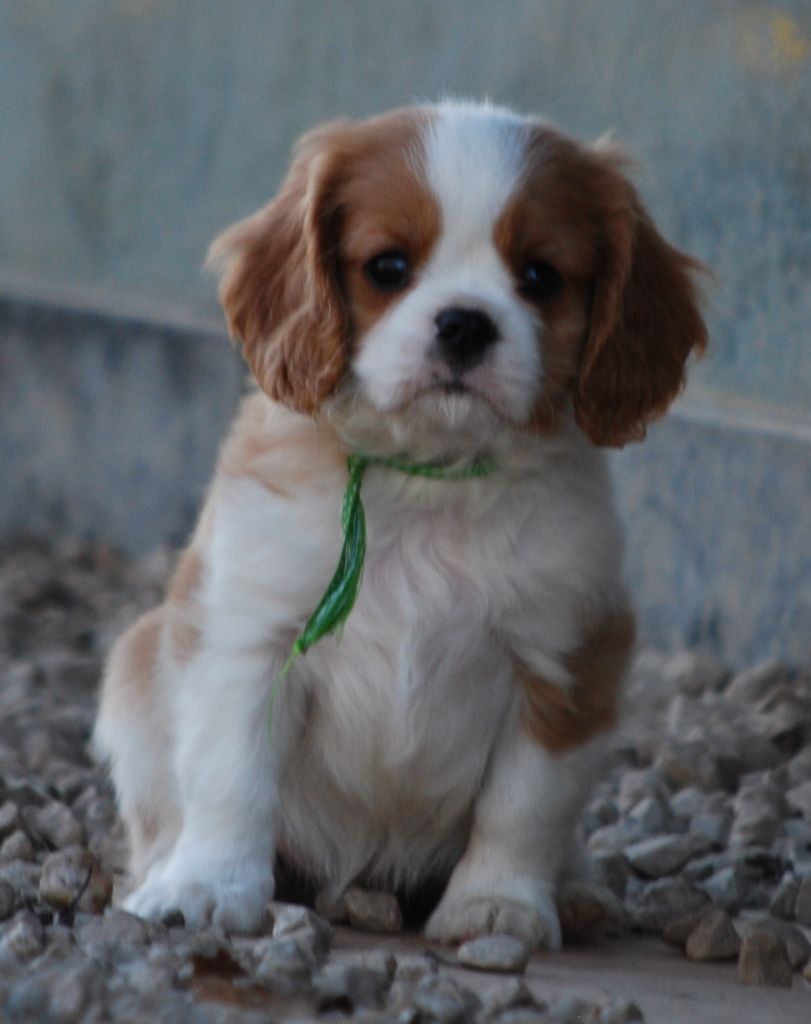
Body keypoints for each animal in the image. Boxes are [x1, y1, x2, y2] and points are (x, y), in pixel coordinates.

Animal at [94, 100, 706, 949]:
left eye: (540, 277)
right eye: (386, 267)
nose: (464, 324)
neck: (428, 481)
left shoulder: (561, 661)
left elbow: (523, 804)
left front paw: (499, 904)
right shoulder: (248, 635)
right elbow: (230, 776)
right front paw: (208, 885)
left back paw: (578, 888)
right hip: (134, 668)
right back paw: (162, 869)